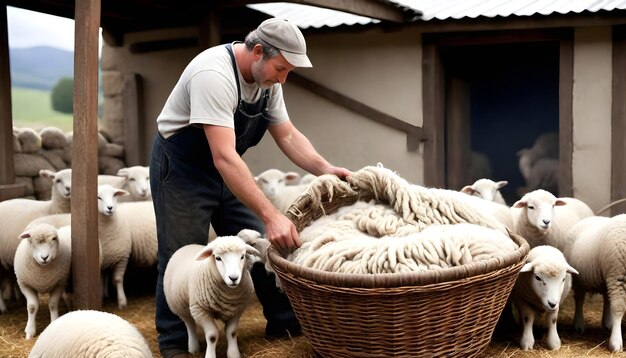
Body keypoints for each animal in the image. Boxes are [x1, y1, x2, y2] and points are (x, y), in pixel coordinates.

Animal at [560, 213, 624, 352]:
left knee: (606, 298)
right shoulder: (618, 276)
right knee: (579, 300)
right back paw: (578, 325)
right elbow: (618, 308)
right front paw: (616, 343)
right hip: (579, 279)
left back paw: (608, 324)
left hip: (607, 278)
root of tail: (591, 217)